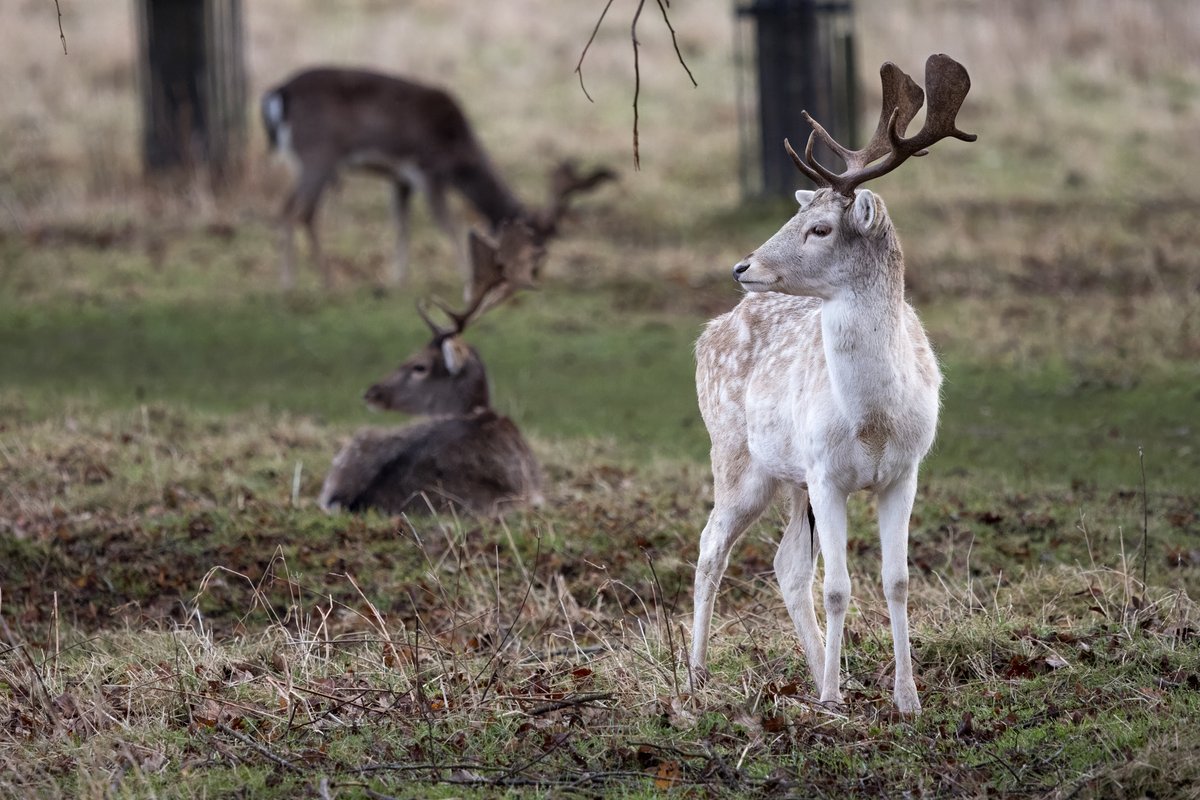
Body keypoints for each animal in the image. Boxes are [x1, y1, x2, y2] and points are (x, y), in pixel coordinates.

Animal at [260, 66, 615, 292]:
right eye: (537, 245)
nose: (534, 277)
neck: (457, 153)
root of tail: (278, 95)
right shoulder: (427, 169)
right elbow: (449, 225)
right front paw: (467, 279)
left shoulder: (400, 178)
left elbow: (402, 226)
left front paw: (398, 281)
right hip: (318, 153)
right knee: (298, 211)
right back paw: (310, 283)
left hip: (310, 159)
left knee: (292, 210)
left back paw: (301, 281)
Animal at [689, 54, 976, 715]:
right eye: (793, 215)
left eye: (819, 228)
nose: (742, 266)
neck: (873, 420)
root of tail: (709, 332)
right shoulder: (826, 473)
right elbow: (840, 586)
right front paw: (833, 700)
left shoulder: (905, 472)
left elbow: (896, 580)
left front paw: (906, 699)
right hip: (737, 457)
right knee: (711, 546)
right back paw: (696, 675)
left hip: (790, 480)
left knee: (786, 565)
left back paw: (820, 667)